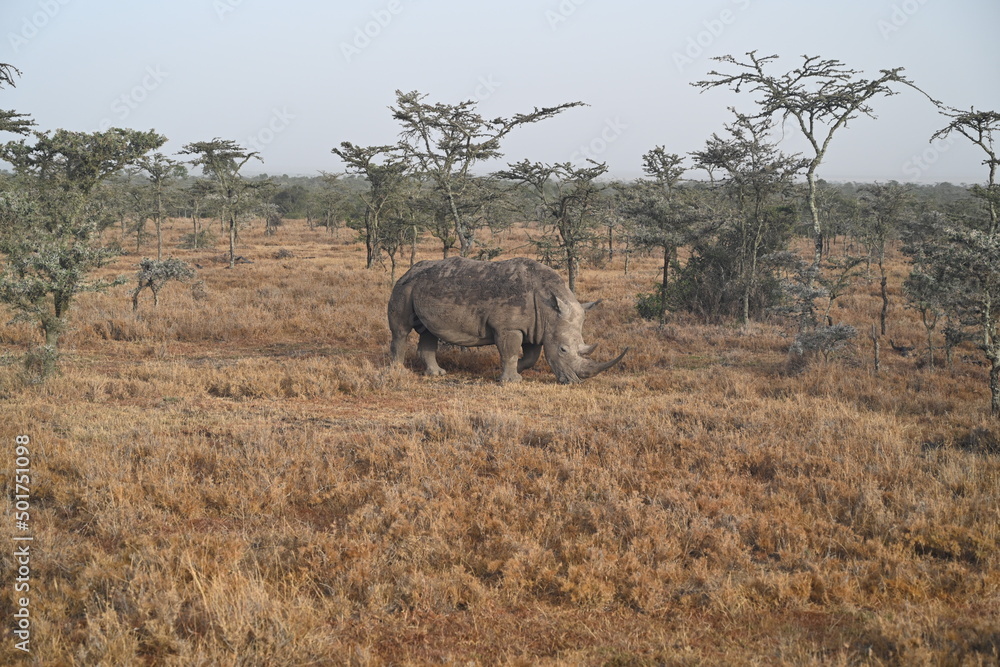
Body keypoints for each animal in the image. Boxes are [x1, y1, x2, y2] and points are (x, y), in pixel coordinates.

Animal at [388, 256, 627, 384]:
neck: (549, 309)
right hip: (404, 285)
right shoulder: (509, 327)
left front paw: (510, 372)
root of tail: (409, 269)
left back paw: (436, 374)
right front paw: (511, 381)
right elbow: (510, 352)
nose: (575, 381)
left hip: (421, 285)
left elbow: (530, 357)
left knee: (429, 331)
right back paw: (398, 371)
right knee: (401, 330)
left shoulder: (535, 328)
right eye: (563, 350)